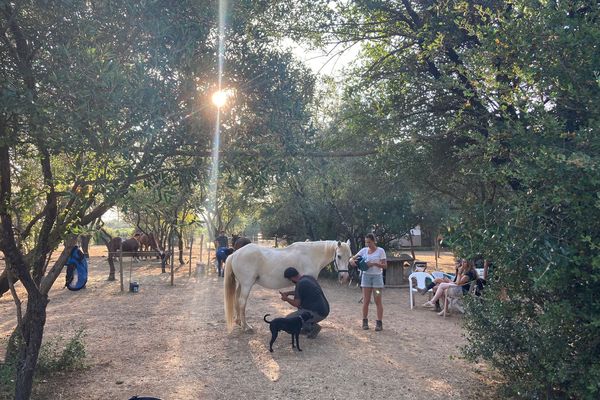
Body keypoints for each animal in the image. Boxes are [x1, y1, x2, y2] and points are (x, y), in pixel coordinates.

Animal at [224, 241, 352, 332]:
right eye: (339, 256)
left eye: (350, 256)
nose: (344, 277)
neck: (310, 255)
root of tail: (235, 254)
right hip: (246, 284)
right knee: (242, 302)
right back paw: (246, 327)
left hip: (241, 284)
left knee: (236, 299)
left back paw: (239, 322)